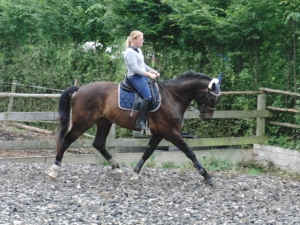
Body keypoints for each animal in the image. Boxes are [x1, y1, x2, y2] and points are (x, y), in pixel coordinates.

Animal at [48, 71, 223, 185]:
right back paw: (54, 170)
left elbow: (148, 152)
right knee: (66, 141)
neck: (172, 97)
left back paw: (117, 169)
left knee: (98, 144)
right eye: (212, 98)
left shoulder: (159, 133)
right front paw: (207, 176)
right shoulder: (170, 132)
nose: (207, 117)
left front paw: (135, 172)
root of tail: (80, 89)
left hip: (104, 123)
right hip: (82, 124)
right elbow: (189, 152)